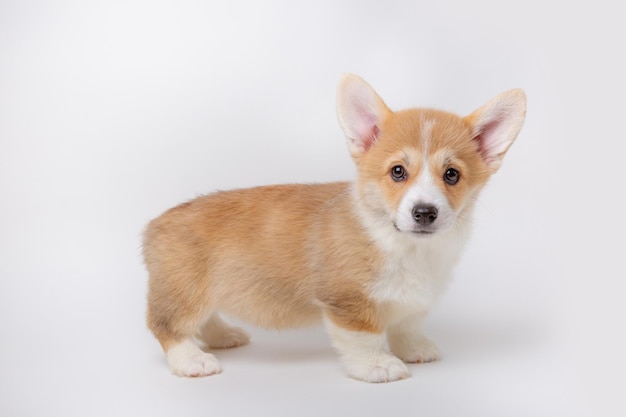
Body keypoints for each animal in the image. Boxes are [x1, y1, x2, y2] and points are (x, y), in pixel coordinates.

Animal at [141, 73, 520, 382]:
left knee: (205, 319)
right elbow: (364, 337)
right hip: (186, 292)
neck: (403, 244)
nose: (424, 212)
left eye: (451, 175)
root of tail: (154, 225)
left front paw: (414, 348)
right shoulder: (349, 302)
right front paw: (378, 365)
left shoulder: (412, 301)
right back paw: (192, 360)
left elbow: (407, 323)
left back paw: (224, 337)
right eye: (398, 171)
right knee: (167, 325)